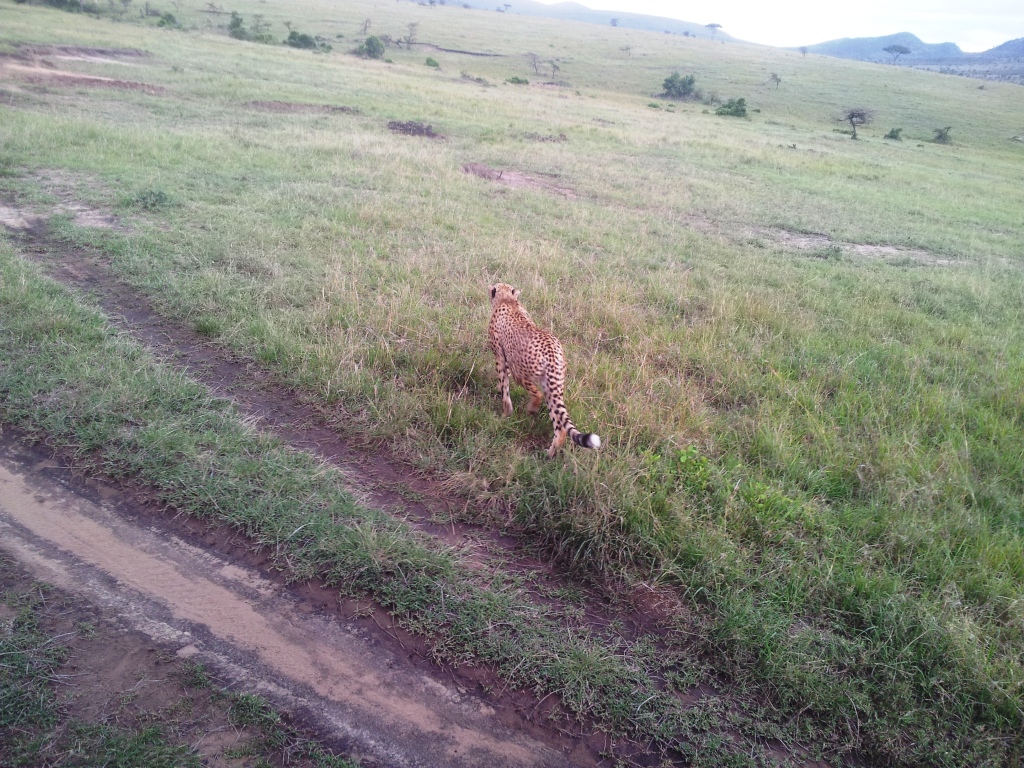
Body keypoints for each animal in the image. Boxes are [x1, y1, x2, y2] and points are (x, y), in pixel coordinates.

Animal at [488, 282, 601, 458]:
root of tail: (552, 352)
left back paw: (531, 409)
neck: (508, 300)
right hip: (552, 386)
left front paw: (505, 414)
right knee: (560, 426)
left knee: (537, 394)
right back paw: (550, 453)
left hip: (521, 371)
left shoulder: (500, 356)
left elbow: (504, 388)